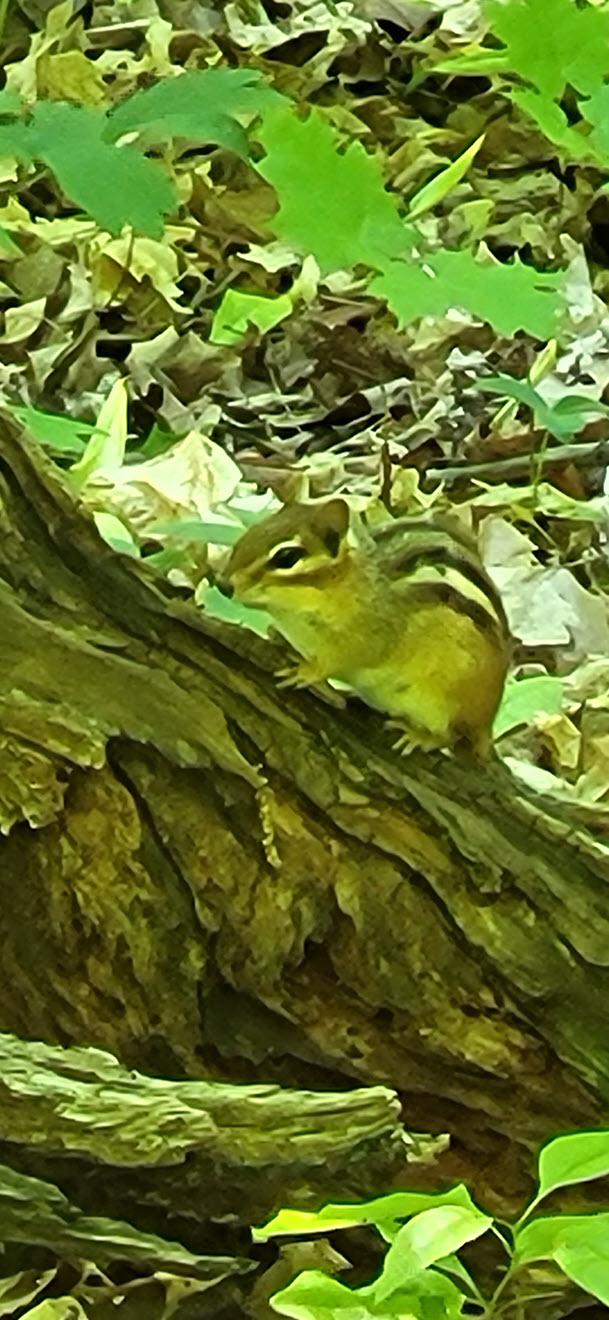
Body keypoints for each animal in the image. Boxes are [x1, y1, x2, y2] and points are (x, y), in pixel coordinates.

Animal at [216, 497, 510, 757]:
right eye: (252, 531)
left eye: (287, 557)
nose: (222, 584)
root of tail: (487, 723)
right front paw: (276, 635)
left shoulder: (371, 633)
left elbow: (346, 656)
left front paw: (307, 670)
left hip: (446, 700)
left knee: (450, 735)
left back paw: (420, 736)